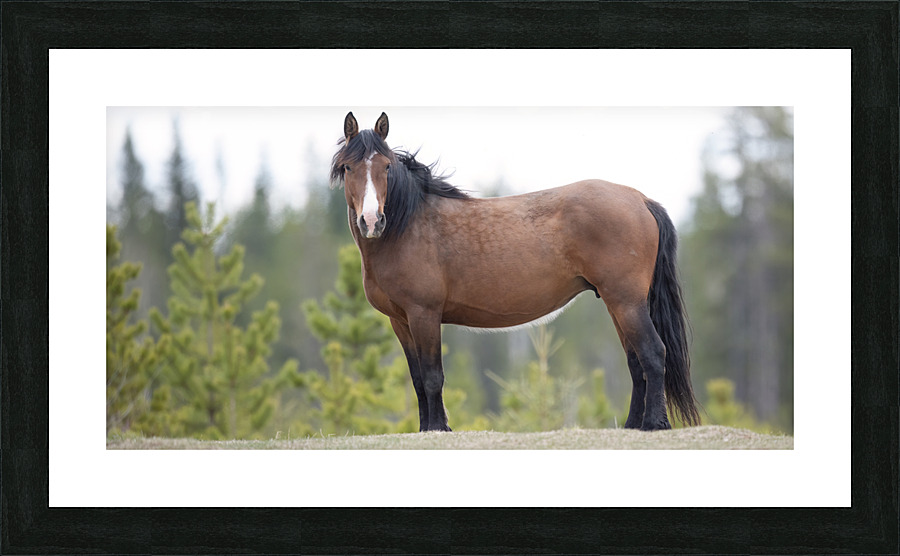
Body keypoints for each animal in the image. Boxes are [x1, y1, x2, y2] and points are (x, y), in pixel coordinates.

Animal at [331, 111, 700, 432]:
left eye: (386, 166)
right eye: (348, 167)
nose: (372, 221)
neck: (409, 226)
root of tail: (640, 200)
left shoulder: (424, 314)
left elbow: (434, 377)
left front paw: (438, 429)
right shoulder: (401, 320)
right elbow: (419, 379)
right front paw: (426, 429)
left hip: (626, 302)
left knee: (653, 354)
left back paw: (653, 424)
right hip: (618, 304)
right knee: (636, 362)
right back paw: (632, 425)